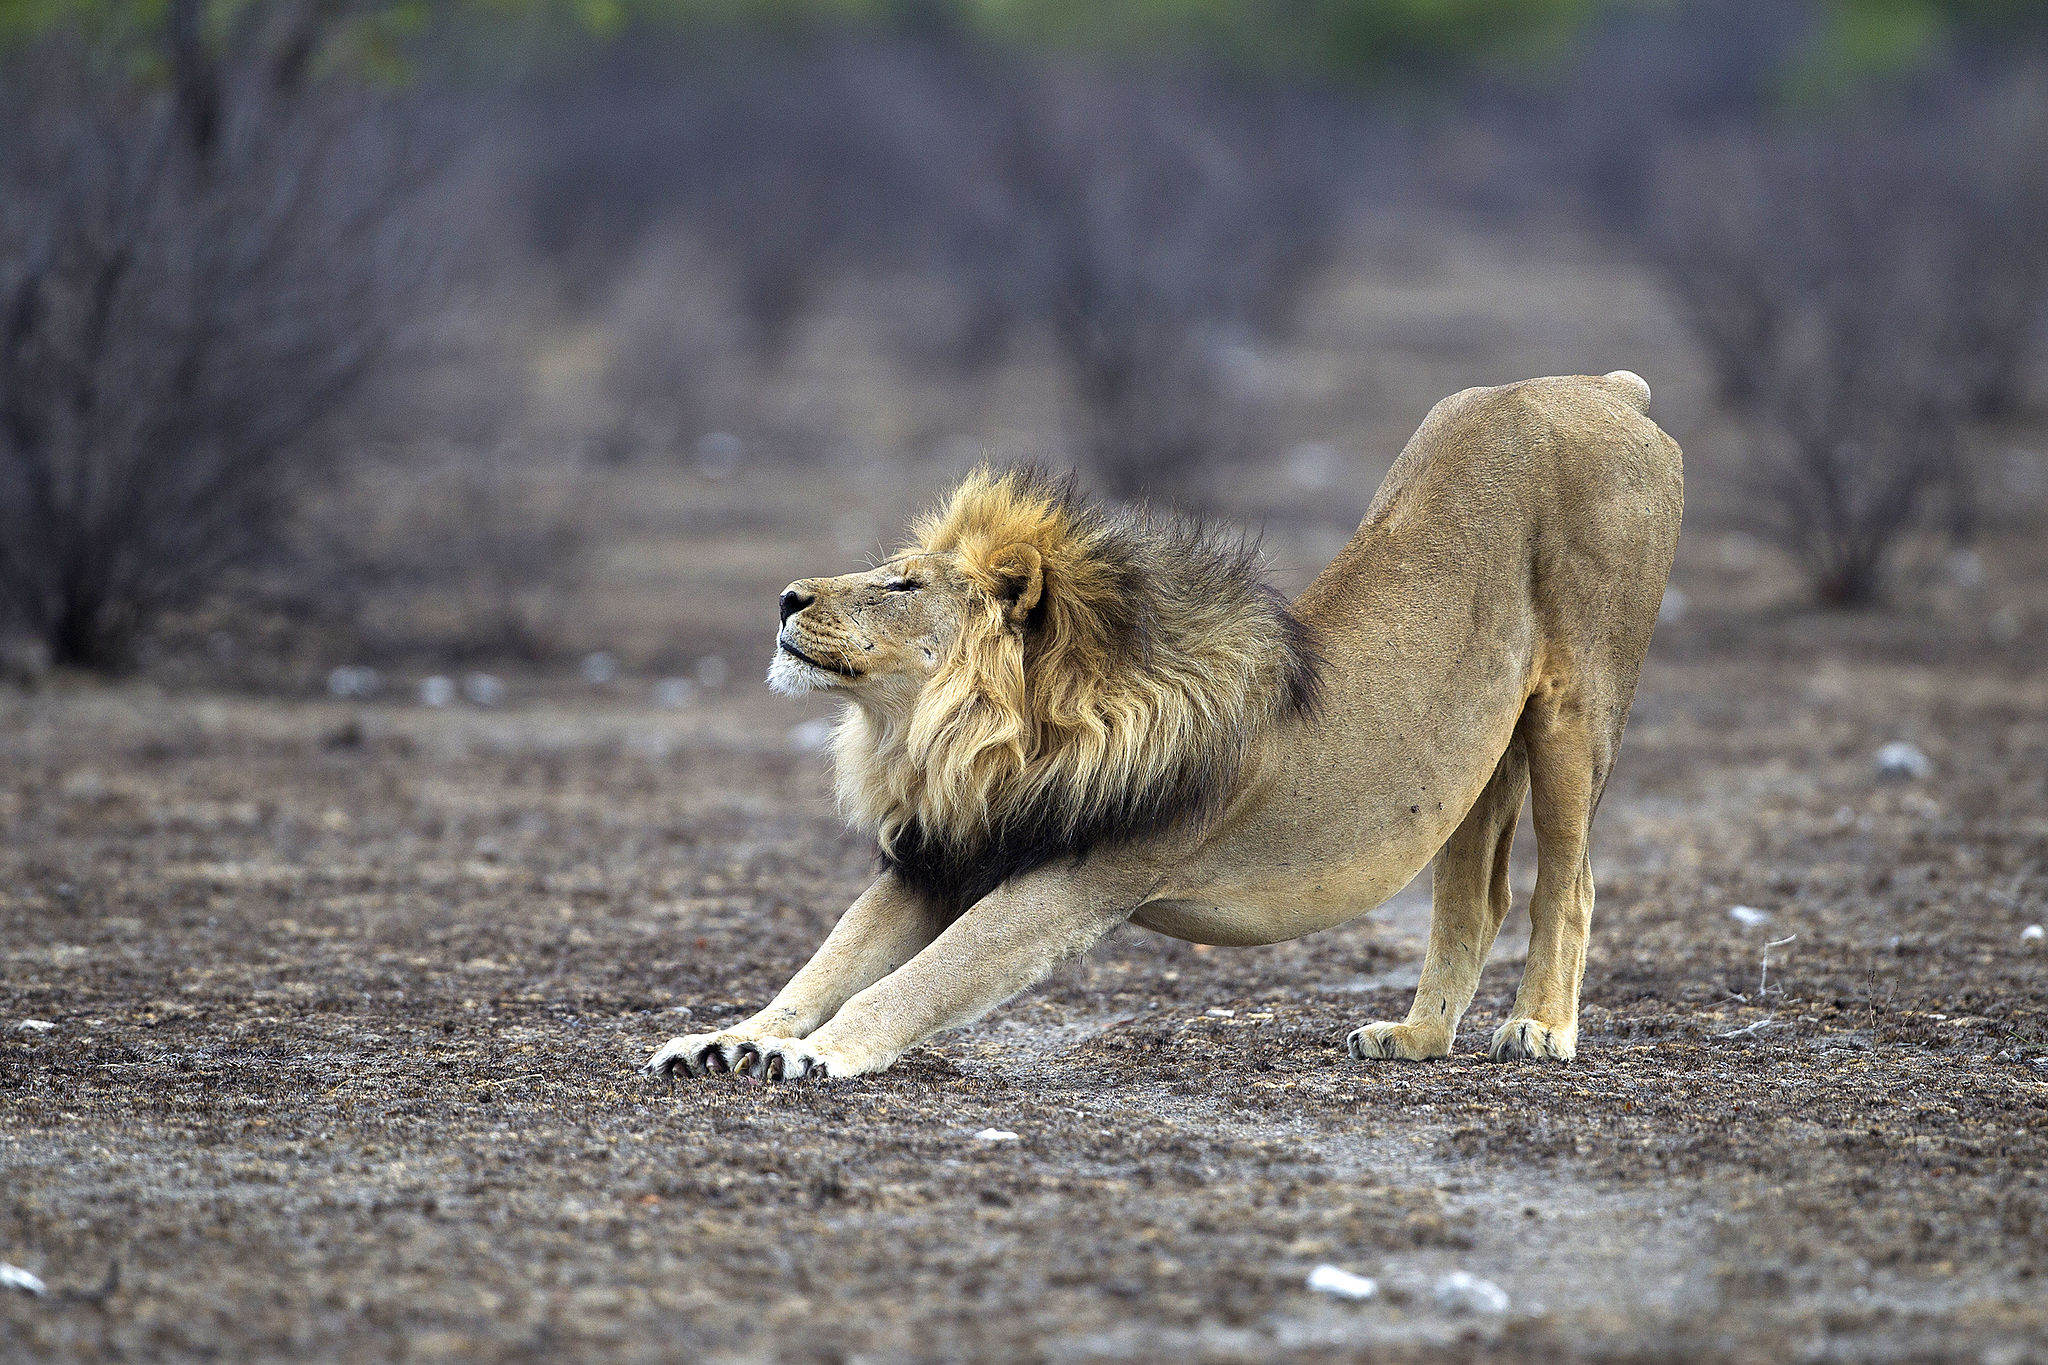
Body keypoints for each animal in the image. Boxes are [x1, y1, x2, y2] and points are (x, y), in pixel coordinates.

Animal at [651, 370, 1679, 1080]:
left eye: (902, 584)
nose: (786, 597)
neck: (954, 740)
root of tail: (1603, 386)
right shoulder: (941, 855)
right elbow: (825, 964)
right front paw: (727, 1037)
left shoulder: (1077, 881)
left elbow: (922, 979)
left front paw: (816, 1054)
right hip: (1476, 755)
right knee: (1475, 897)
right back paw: (1417, 1036)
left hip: (1577, 708)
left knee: (1571, 883)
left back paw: (1541, 1026)